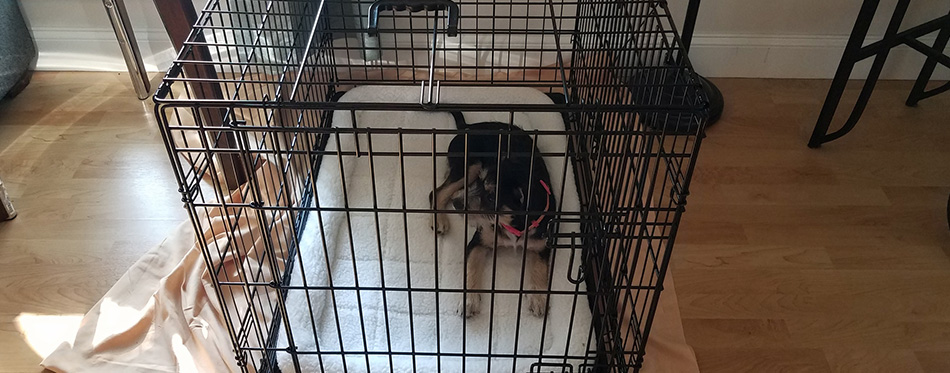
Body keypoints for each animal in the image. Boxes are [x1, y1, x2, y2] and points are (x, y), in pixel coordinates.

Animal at [428, 111, 556, 316]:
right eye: (480, 182)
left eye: (490, 198)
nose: (457, 205)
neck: (512, 224)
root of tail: (467, 127)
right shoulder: (478, 242)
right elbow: (470, 269)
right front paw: (469, 301)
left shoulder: (542, 244)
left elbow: (540, 267)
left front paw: (538, 299)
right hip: (469, 166)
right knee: (437, 192)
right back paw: (439, 220)